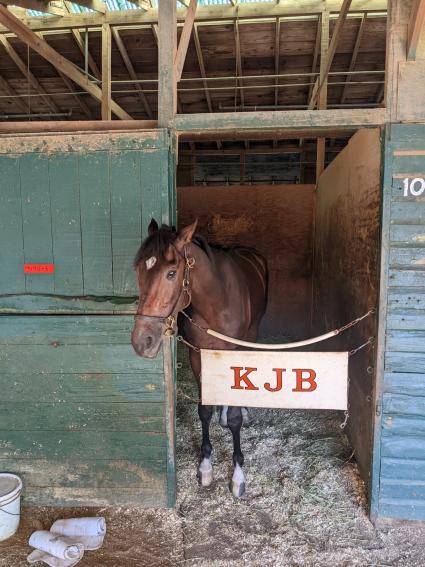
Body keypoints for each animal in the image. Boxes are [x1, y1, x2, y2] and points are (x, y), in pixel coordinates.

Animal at [131, 220, 266, 500]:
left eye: (171, 273)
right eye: (138, 269)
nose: (142, 341)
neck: (216, 302)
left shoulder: (232, 351)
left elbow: (235, 418)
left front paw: (238, 474)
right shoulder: (198, 354)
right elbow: (204, 410)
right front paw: (205, 466)